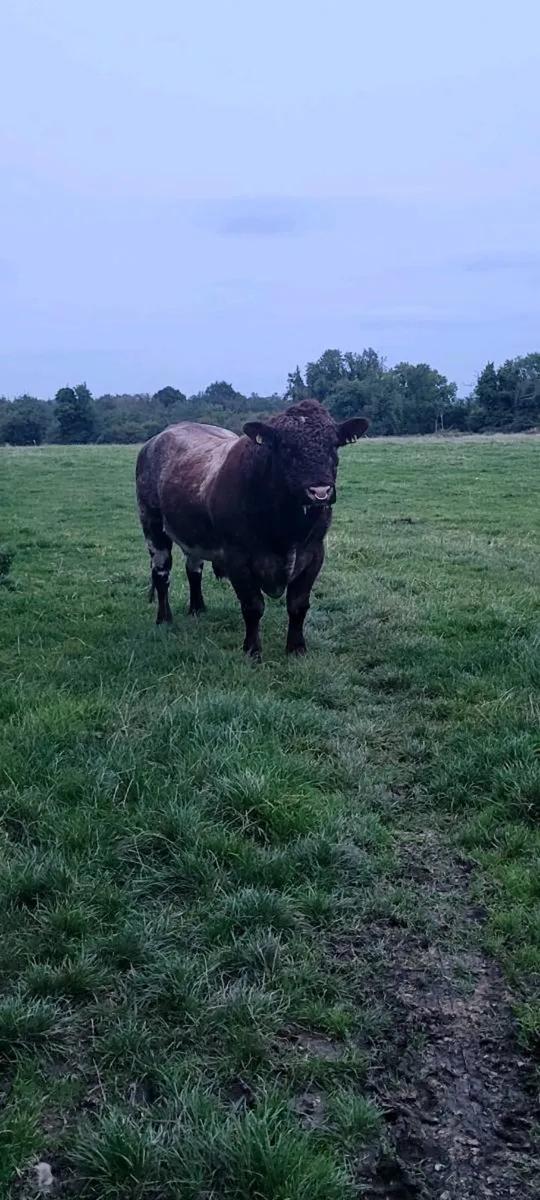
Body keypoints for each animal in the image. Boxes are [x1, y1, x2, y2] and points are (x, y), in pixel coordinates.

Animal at [135, 399, 368, 659]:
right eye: (285, 446)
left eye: (334, 445)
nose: (320, 491)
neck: (286, 528)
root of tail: (158, 438)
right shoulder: (237, 557)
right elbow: (253, 606)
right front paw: (252, 650)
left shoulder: (314, 553)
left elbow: (298, 605)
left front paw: (296, 648)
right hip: (152, 524)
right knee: (161, 573)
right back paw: (164, 619)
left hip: (193, 534)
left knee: (193, 569)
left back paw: (197, 609)